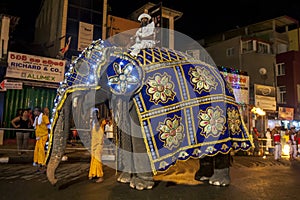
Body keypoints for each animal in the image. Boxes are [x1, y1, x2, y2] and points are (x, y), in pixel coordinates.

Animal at [46, 30, 253, 189]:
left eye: (82, 70)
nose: (56, 183)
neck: (120, 52)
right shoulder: (123, 98)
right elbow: (126, 136)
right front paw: (124, 180)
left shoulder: (141, 97)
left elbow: (138, 138)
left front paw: (140, 186)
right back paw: (201, 177)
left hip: (223, 115)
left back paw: (218, 182)